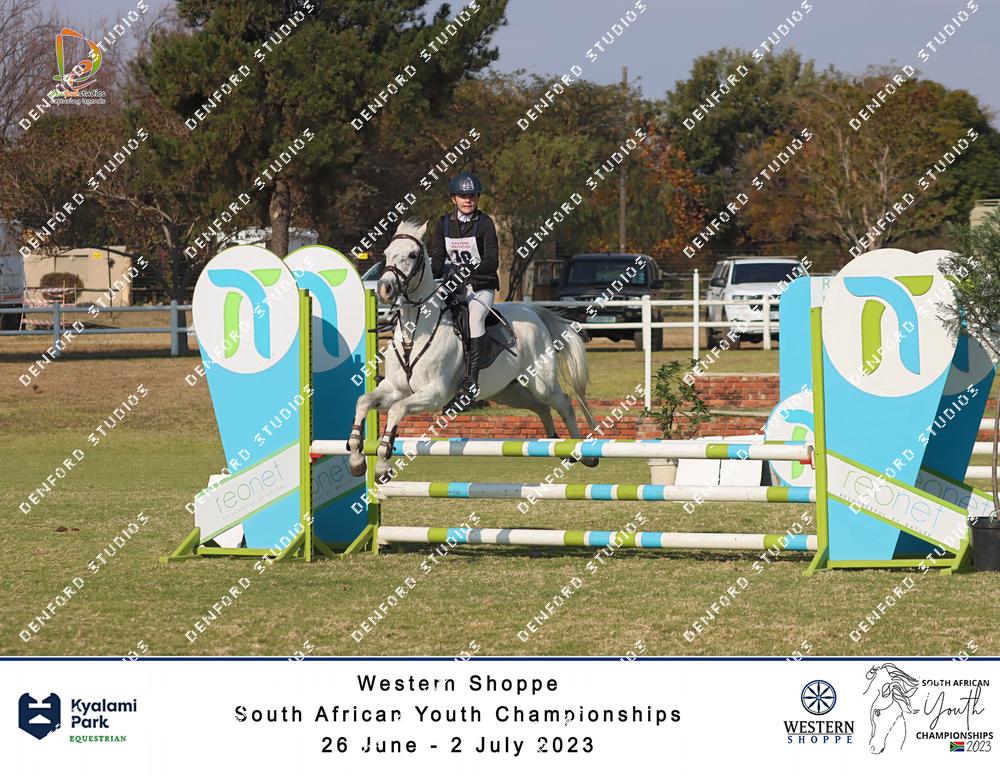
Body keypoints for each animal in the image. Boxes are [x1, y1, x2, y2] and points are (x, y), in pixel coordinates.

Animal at [346, 220, 598, 480]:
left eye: (413, 255)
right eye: (386, 254)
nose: (384, 289)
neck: (415, 328)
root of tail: (533, 312)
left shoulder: (434, 393)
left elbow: (396, 410)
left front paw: (382, 464)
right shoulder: (395, 388)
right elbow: (364, 402)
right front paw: (357, 459)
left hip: (541, 383)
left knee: (563, 403)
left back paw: (583, 454)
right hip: (507, 391)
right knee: (541, 406)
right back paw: (555, 443)